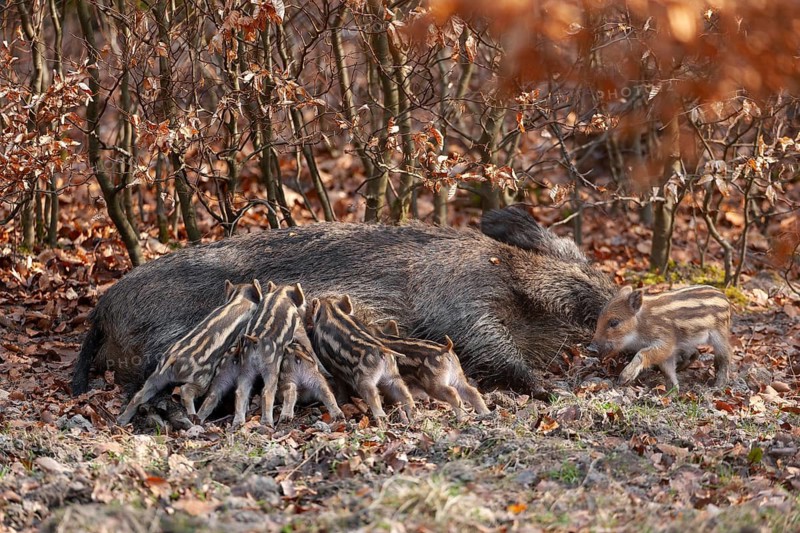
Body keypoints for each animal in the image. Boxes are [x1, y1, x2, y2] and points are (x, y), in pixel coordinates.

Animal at [116, 280, 262, 426]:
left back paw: (121, 420)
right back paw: (193, 416)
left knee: (140, 395)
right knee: (186, 391)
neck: (240, 298)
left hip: (158, 376)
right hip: (201, 380)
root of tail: (174, 358)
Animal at [311, 295, 415, 424]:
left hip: (363, 380)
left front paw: (341, 402)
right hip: (392, 375)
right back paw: (414, 415)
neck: (330, 311)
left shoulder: (332, 369)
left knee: (373, 395)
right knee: (405, 392)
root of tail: (382, 349)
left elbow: (340, 385)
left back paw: (381, 419)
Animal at [587, 285, 732, 390]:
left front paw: (623, 378)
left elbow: (643, 353)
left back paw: (718, 386)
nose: (590, 348)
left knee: (725, 356)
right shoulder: (668, 351)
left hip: (720, 334)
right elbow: (667, 369)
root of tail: (725, 298)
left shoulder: (666, 341)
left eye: (614, 322)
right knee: (695, 353)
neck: (642, 325)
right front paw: (672, 392)